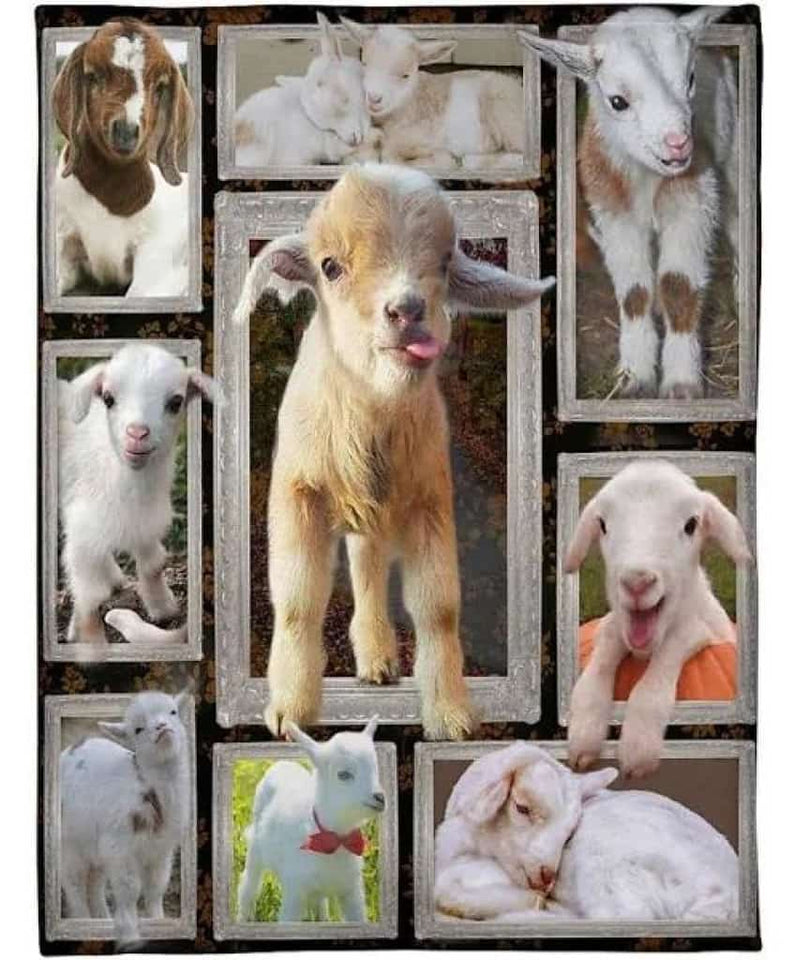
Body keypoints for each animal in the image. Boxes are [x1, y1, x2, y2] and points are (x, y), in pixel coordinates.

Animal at [233, 164, 555, 740]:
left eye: (445, 262)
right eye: (330, 266)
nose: (407, 311)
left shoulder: (431, 499)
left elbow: (438, 608)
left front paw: (451, 714)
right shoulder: (296, 493)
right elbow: (296, 602)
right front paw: (289, 710)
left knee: (369, 568)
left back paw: (379, 661)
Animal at [519, 7, 737, 398]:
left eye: (691, 79)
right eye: (617, 101)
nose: (678, 144)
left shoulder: (693, 200)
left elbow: (678, 285)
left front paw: (681, 383)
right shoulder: (612, 210)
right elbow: (635, 293)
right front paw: (634, 378)